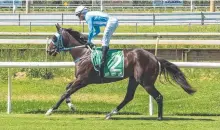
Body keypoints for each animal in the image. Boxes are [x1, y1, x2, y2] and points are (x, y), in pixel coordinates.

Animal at [46, 23, 196, 120]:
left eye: (54, 38)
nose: (48, 50)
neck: (83, 54)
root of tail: (154, 57)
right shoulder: (80, 79)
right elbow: (67, 88)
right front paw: (71, 106)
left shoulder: (83, 80)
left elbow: (65, 92)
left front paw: (50, 110)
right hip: (134, 79)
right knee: (129, 96)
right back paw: (110, 114)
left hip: (146, 82)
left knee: (158, 96)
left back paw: (159, 117)